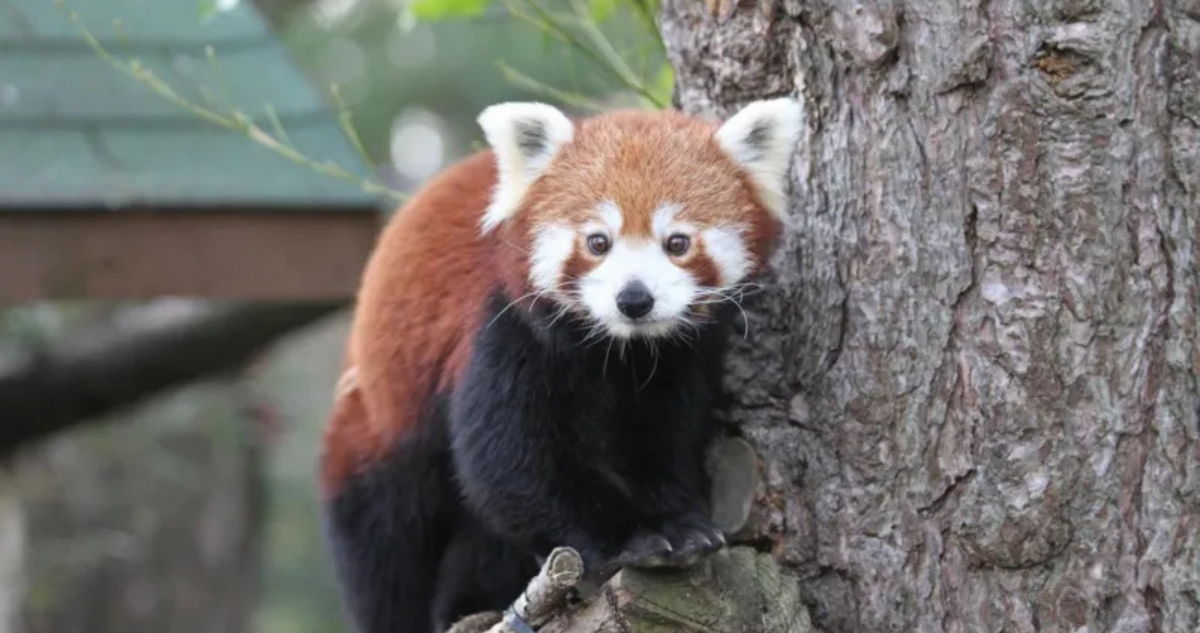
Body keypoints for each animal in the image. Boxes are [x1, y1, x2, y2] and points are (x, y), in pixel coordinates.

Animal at [324, 98, 801, 633]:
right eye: (598, 242)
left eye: (677, 243)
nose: (634, 299)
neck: (620, 350)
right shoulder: (504, 328)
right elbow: (512, 461)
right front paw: (637, 536)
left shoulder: (678, 362)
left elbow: (663, 440)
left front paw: (678, 520)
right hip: (378, 431)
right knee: (386, 544)